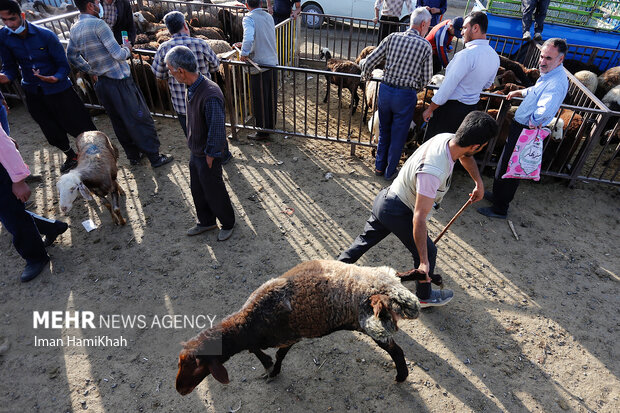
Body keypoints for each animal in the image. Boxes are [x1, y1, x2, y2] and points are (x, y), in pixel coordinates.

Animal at [174, 260, 422, 392]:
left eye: (196, 366)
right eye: (180, 362)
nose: (179, 389)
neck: (249, 322)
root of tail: (388, 289)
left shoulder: (289, 336)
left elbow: (277, 355)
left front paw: (272, 370)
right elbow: (257, 349)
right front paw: (268, 365)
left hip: (371, 323)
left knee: (396, 351)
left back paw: (401, 376)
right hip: (383, 281)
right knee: (402, 275)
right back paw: (422, 275)